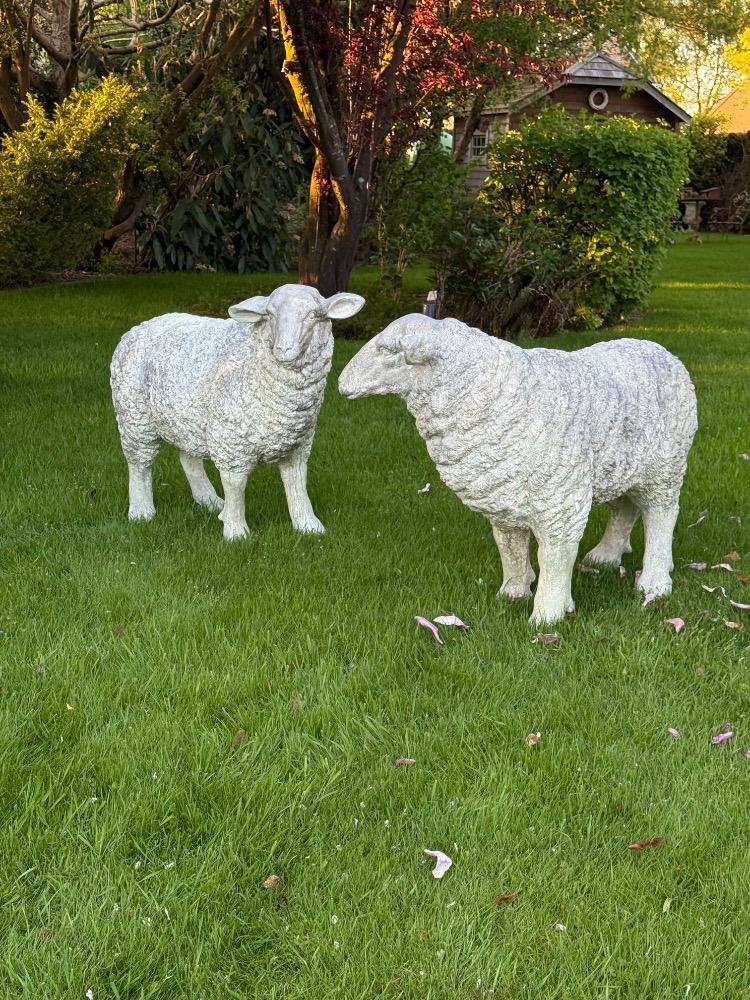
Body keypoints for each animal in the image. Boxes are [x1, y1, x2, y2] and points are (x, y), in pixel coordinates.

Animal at [110, 283, 364, 540]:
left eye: (313, 315)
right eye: (269, 315)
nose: (283, 350)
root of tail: (141, 326)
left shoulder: (297, 443)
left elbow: (296, 482)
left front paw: (308, 525)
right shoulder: (231, 441)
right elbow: (235, 484)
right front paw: (236, 531)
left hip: (188, 417)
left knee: (188, 458)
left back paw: (210, 501)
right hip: (135, 417)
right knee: (139, 463)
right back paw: (142, 511)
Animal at [338, 313, 698, 624]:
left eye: (388, 351)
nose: (341, 384)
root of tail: (661, 350)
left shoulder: (560, 503)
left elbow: (554, 557)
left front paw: (547, 614)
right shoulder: (503, 497)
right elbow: (509, 547)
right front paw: (513, 593)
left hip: (665, 467)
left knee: (662, 516)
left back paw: (654, 582)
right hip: (621, 466)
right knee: (624, 509)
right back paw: (606, 557)